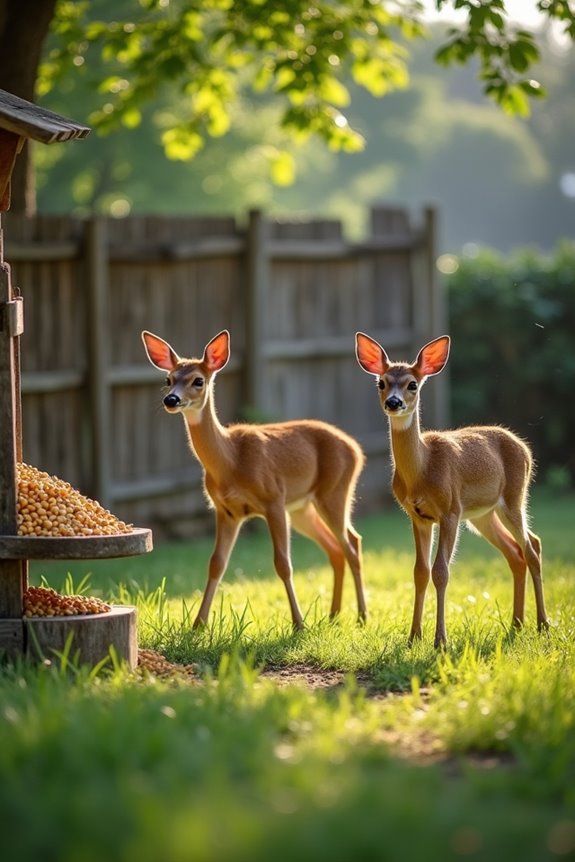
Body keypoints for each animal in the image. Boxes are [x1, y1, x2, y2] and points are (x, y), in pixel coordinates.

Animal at [142, 329, 367, 631]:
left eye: (198, 380)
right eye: (168, 379)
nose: (171, 400)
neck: (231, 461)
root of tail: (356, 449)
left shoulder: (273, 500)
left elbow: (283, 564)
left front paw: (298, 624)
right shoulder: (226, 511)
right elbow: (216, 563)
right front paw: (198, 624)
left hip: (334, 491)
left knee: (352, 543)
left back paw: (362, 616)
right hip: (302, 508)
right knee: (335, 549)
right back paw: (333, 615)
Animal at [355, 331, 549, 648]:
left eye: (412, 384)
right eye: (381, 382)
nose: (394, 402)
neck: (421, 470)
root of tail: (523, 447)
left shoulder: (450, 510)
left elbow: (441, 572)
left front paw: (440, 641)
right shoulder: (418, 517)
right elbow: (420, 572)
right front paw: (413, 637)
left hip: (513, 497)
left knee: (531, 547)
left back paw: (543, 624)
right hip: (483, 515)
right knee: (516, 552)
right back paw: (517, 623)